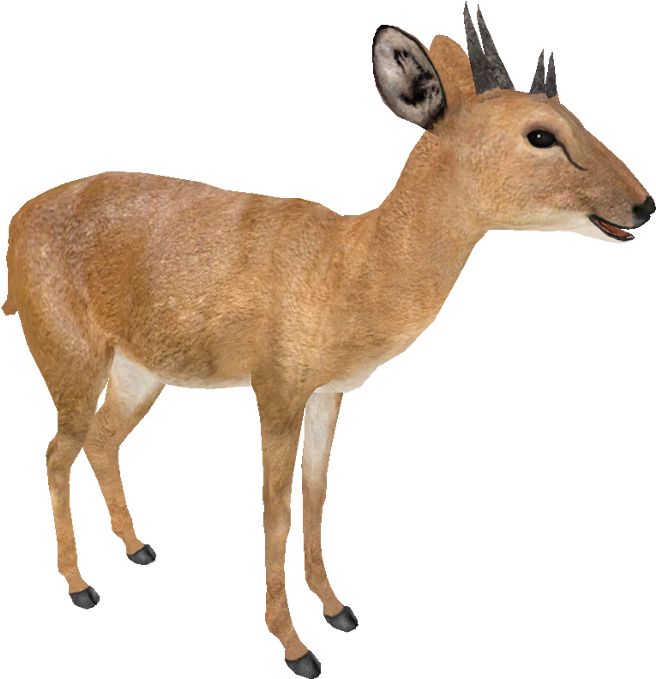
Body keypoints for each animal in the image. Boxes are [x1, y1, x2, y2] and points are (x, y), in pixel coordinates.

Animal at [3, 3, 651, 677]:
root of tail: (18, 221)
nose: (643, 206)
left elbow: (315, 496)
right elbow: (276, 508)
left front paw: (337, 609)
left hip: (140, 372)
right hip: (71, 360)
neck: (346, 267)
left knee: (102, 441)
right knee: (56, 451)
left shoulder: (330, 393)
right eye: (540, 134)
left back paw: (138, 549)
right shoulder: (275, 391)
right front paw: (294, 646)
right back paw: (80, 586)